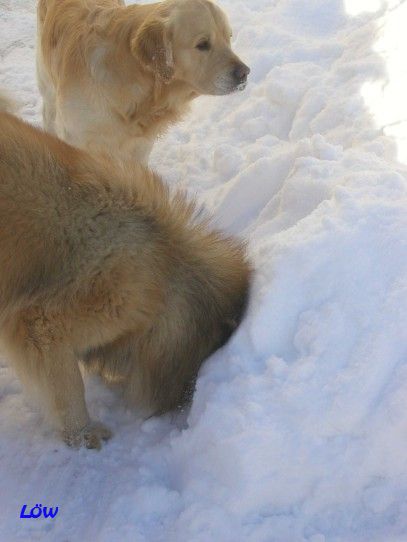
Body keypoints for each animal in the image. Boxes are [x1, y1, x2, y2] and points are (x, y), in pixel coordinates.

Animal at [36, 0, 250, 166]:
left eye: (228, 37)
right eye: (202, 44)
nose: (245, 73)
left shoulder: (140, 147)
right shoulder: (76, 138)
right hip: (48, 89)